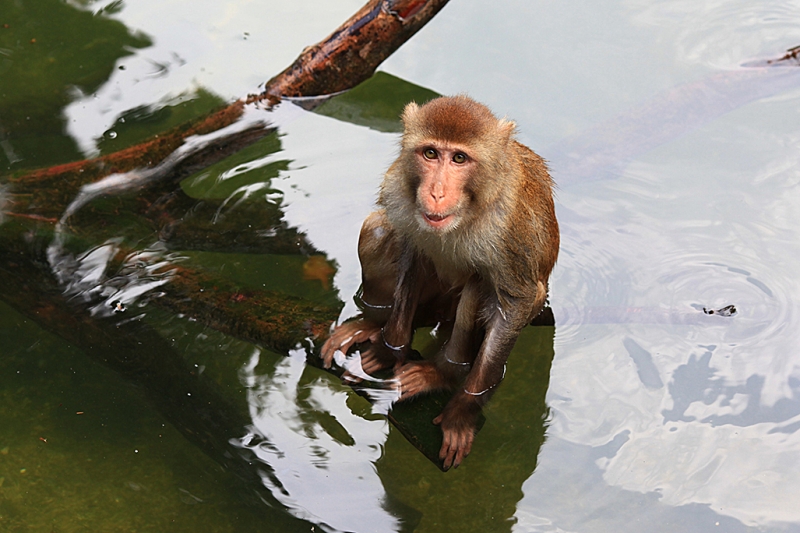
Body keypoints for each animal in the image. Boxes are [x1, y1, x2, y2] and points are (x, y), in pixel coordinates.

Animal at [322, 94, 560, 466]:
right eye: (431, 153)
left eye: (459, 158)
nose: (435, 192)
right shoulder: (401, 194)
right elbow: (412, 254)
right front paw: (390, 349)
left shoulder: (509, 230)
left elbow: (518, 300)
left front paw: (463, 408)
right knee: (378, 229)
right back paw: (373, 324)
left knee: (480, 282)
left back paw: (444, 372)